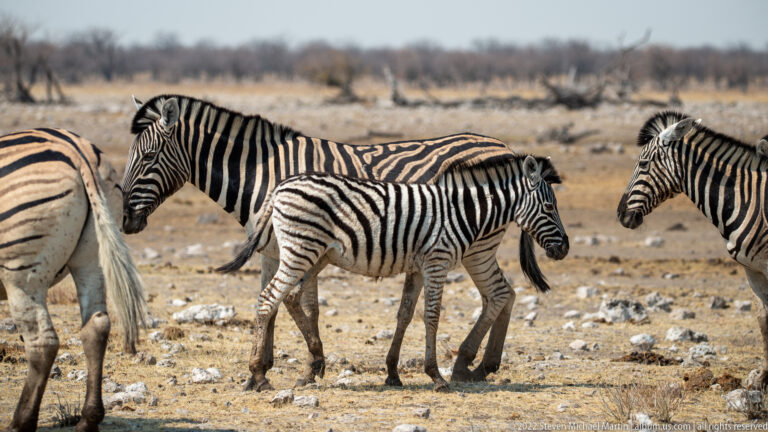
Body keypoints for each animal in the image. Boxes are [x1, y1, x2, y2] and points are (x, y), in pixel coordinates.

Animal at [0, 129, 147, 432]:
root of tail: (78, 150)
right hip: (91, 258)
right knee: (96, 327)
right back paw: (88, 419)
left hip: (22, 276)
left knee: (42, 343)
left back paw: (21, 422)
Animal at [219, 154, 568, 391]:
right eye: (550, 208)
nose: (564, 249)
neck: (460, 212)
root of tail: (280, 187)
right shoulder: (437, 261)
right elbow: (432, 317)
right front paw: (436, 376)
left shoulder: (418, 267)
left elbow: (404, 314)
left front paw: (393, 373)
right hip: (300, 250)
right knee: (268, 299)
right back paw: (259, 374)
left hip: (314, 254)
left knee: (288, 298)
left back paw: (309, 366)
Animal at [617, 111, 768, 389]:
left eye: (643, 163)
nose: (621, 214)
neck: (747, 199)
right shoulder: (752, 269)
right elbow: (763, 319)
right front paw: (762, 379)